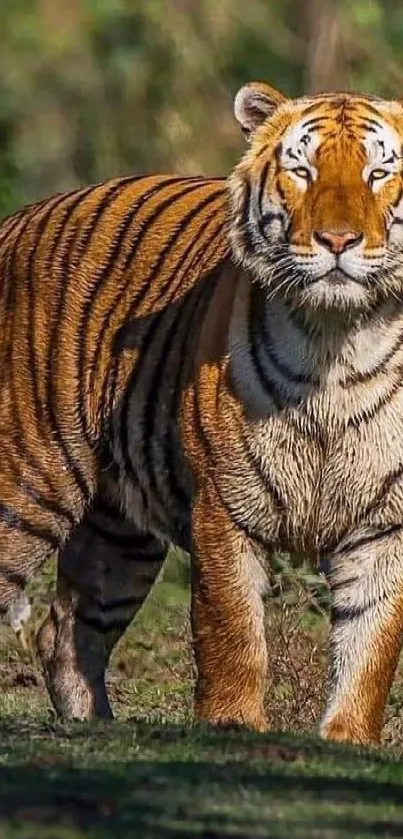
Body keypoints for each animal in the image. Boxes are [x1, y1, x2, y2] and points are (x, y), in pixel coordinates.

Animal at [0, 80, 403, 748]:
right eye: (303, 170)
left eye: (380, 172)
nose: (338, 241)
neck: (337, 342)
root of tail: (15, 222)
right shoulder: (225, 503)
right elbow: (231, 628)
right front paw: (233, 725)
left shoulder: (386, 526)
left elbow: (371, 645)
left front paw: (347, 740)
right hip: (29, 487)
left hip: (118, 531)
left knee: (66, 628)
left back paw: (97, 728)